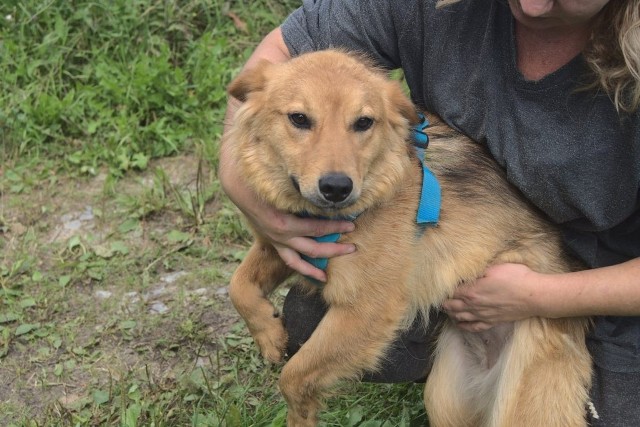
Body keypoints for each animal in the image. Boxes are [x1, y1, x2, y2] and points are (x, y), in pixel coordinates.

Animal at [224, 51, 592, 427]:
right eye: (299, 118)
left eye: (363, 123)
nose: (337, 188)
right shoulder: (282, 243)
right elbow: (238, 285)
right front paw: (268, 333)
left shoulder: (365, 310)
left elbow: (294, 376)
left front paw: (300, 416)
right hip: (445, 399)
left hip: (523, 404)